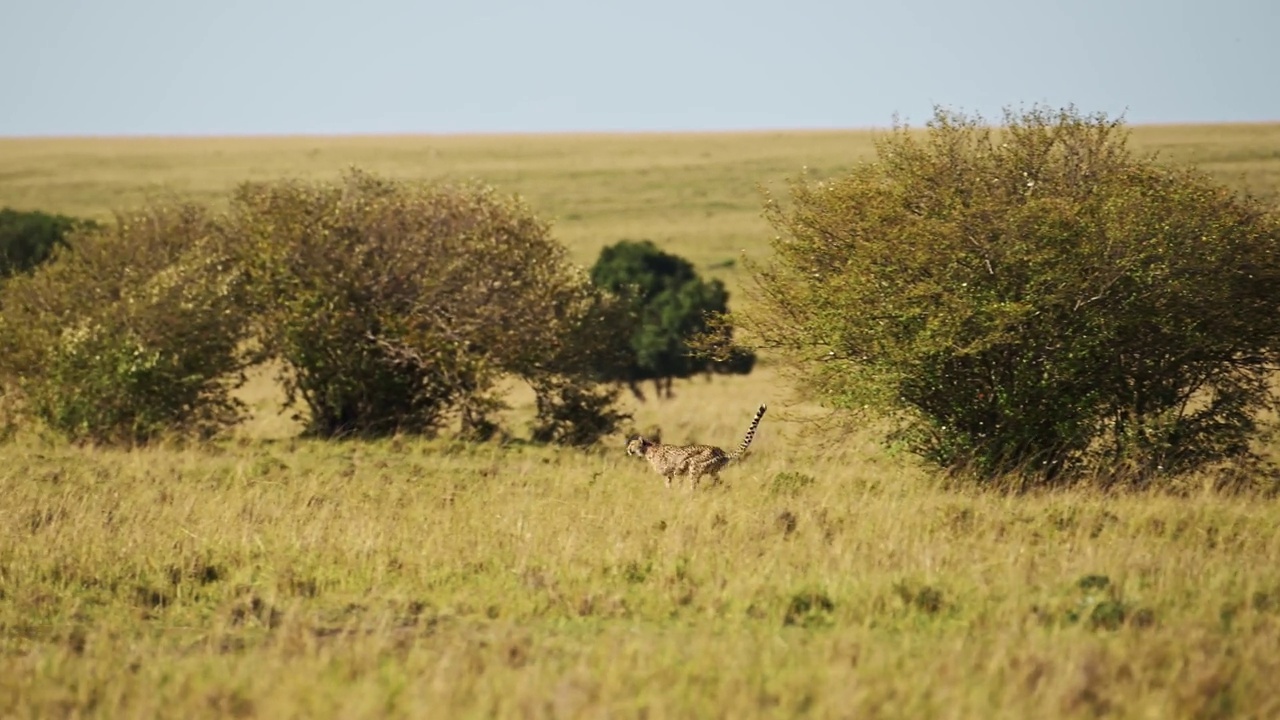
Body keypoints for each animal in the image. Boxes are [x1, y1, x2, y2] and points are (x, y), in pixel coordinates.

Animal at [624, 404, 762, 486]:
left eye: (632, 444)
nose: (628, 449)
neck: (648, 449)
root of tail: (720, 451)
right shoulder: (669, 475)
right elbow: (668, 487)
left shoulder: (676, 470)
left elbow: (677, 482)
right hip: (712, 472)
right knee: (720, 483)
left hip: (695, 465)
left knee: (694, 485)